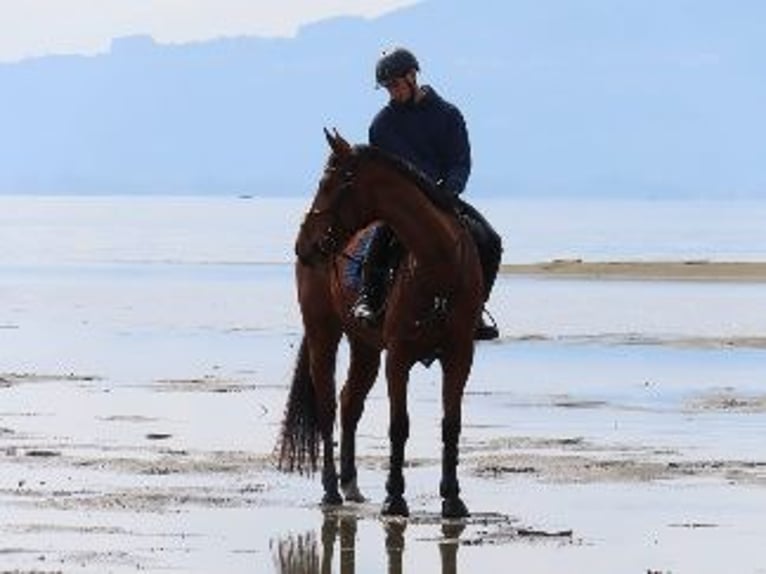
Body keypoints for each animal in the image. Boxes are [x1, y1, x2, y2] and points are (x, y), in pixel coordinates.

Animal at [277, 129, 484, 518]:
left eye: (327, 183)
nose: (303, 244)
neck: (437, 265)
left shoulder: (460, 354)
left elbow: (452, 424)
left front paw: (453, 498)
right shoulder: (398, 356)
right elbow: (398, 425)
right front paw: (395, 497)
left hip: (365, 347)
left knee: (349, 402)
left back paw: (350, 483)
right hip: (323, 333)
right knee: (328, 406)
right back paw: (331, 489)